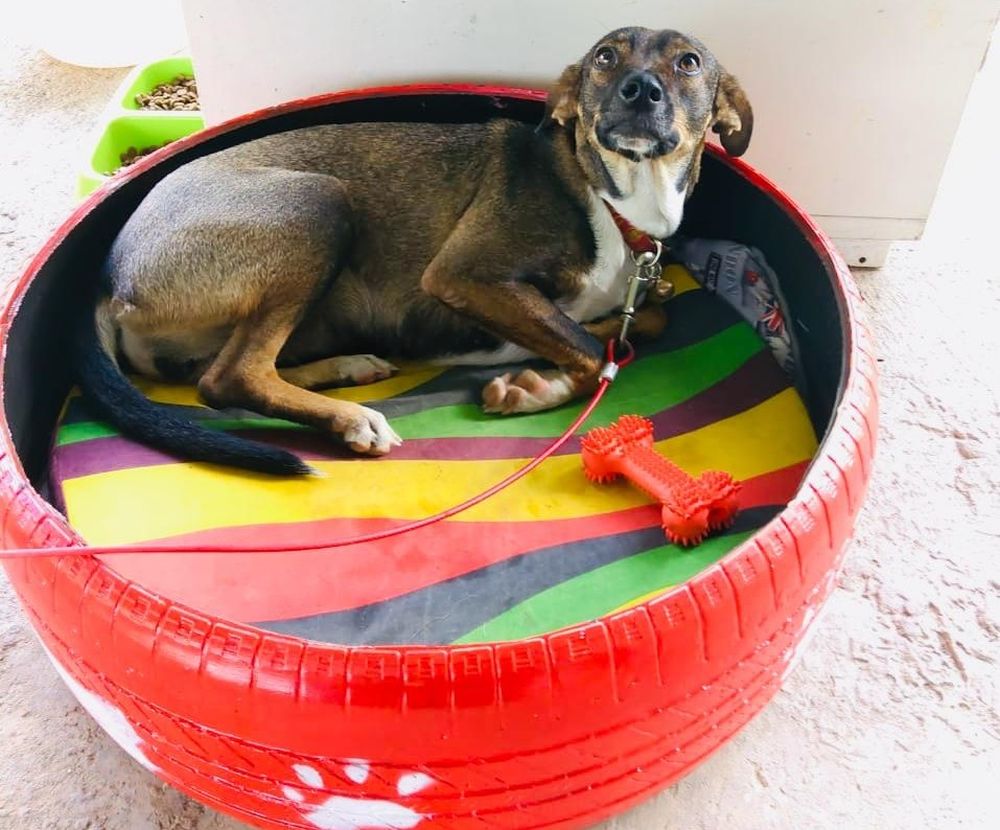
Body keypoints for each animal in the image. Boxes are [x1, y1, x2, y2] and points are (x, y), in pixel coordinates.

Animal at [78, 26, 752, 474]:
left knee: (230, 369)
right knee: (229, 377)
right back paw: (351, 419)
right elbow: (591, 349)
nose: (640, 91)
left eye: (689, 62)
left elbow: (642, 324)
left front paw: (546, 372)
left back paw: (345, 370)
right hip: (318, 205)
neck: (616, 200)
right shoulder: (462, 276)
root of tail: (108, 275)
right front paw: (536, 386)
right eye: (605, 58)